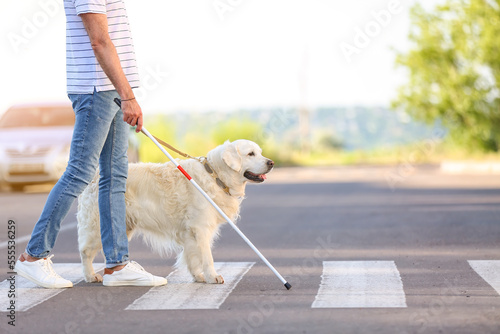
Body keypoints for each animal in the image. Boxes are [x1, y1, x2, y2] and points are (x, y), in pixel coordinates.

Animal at [77, 140, 274, 284]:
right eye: (250, 154)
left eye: (260, 152)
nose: (271, 162)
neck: (215, 175)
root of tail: (95, 176)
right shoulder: (201, 227)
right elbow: (207, 256)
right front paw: (212, 276)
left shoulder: (190, 232)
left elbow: (193, 256)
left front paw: (198, 276)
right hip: (97, 226)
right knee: (85, 252)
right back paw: (90, 276)